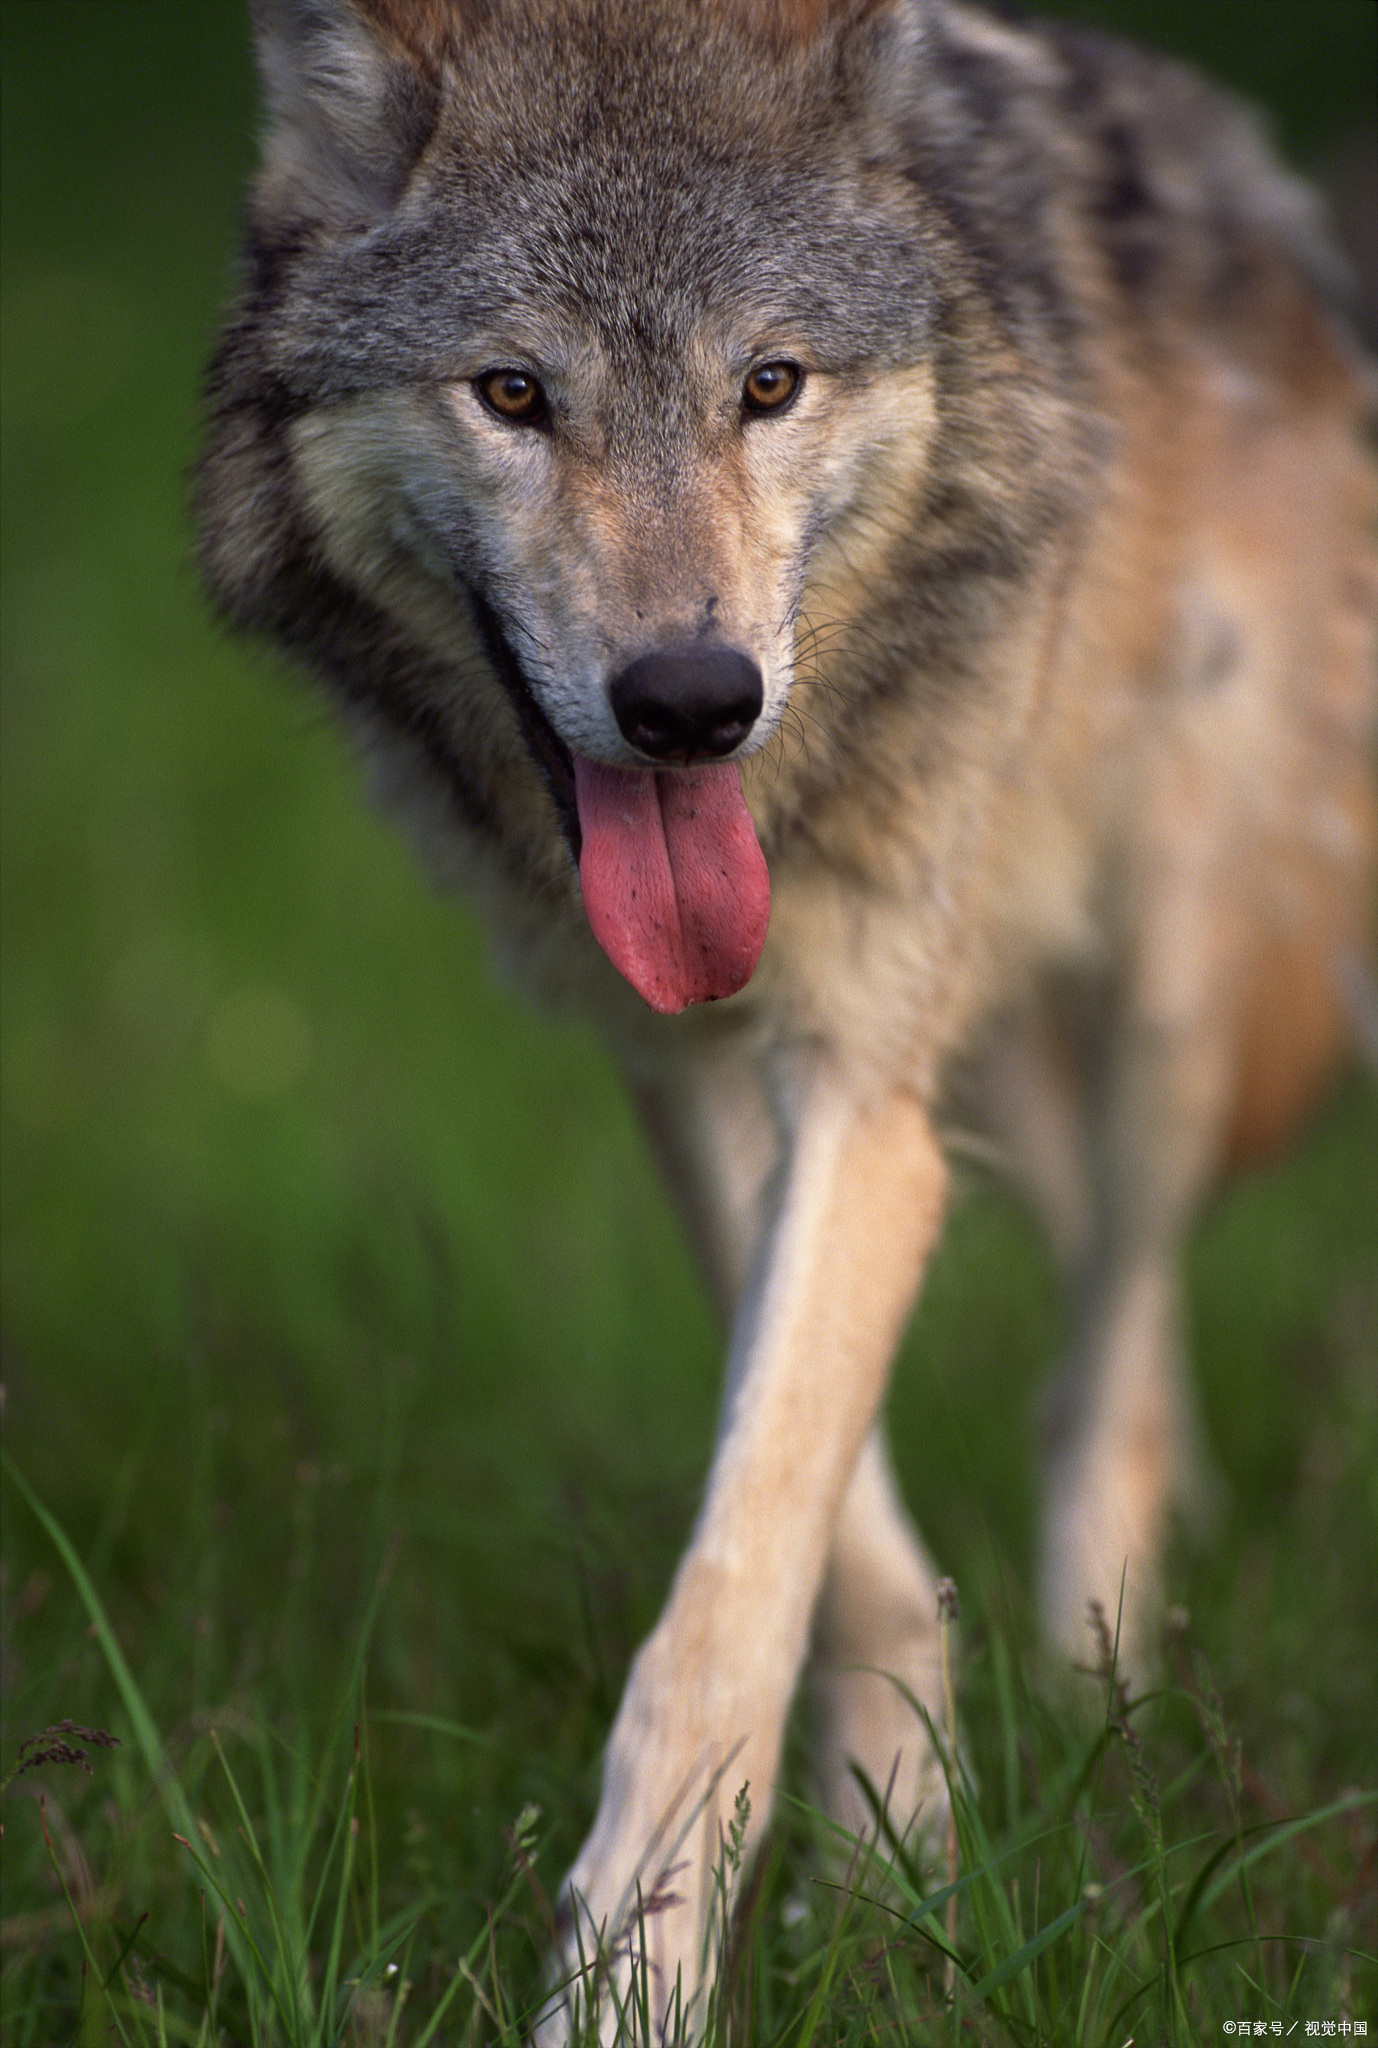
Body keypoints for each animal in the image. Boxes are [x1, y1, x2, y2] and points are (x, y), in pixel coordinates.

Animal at [196, 4, 1375, 2031]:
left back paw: (1111, 1703)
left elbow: (725, 1607)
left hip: (1170, 993)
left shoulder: (865, 1098)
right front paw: (898, 1849)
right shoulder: (700, 1074)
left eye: (769, 382)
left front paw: (631, 1984)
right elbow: (837, 1549)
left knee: (1115, 1345)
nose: (690, 701)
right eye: (513, 393)